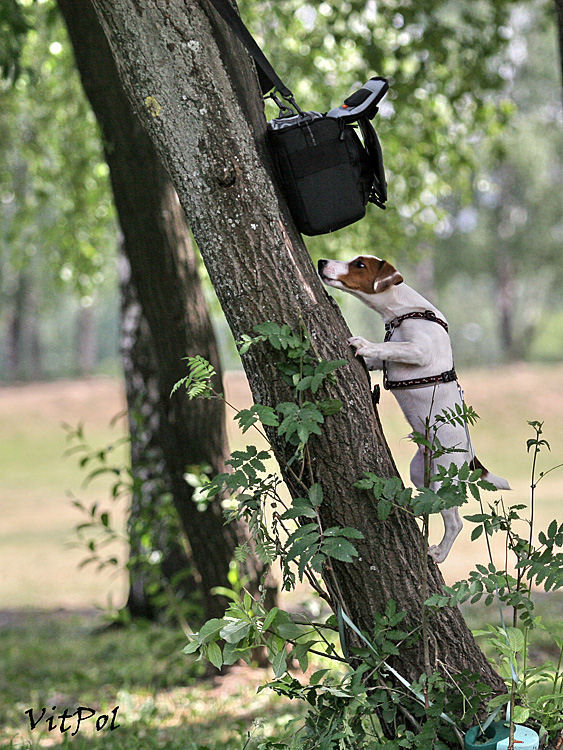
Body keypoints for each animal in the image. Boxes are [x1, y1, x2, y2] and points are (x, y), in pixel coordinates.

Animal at [318, 258, 512, 564]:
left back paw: (439, 553)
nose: (322, 262)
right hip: (420, 473)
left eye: (359, 263)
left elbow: (390, 348)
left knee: (455, 522)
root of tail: (471, 458)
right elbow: (383, 356)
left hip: (444, 480)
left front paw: (364, 344)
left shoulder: (419, 351)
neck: (407, 313)